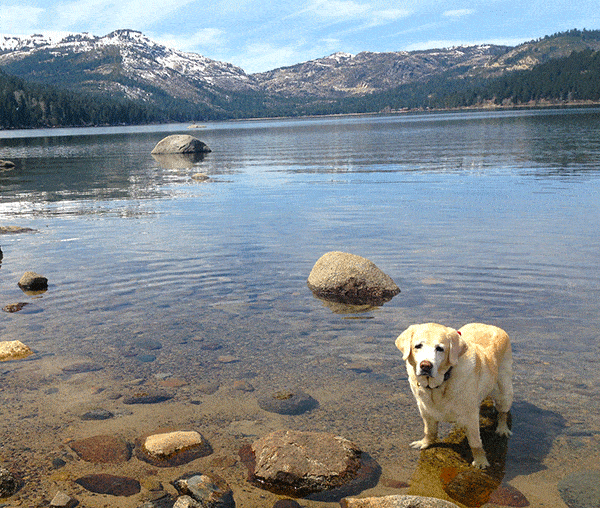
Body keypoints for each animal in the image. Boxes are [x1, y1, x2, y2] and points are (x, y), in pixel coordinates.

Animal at [396, 322, 512, 468]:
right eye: (418, 346)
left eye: (440, 348)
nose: (425, 366)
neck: (439, 384)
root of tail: (491, 325)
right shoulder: (425, 409)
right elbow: (429, 430)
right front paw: (424, 443)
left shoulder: (471, 415)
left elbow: (475, 443)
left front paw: (480, 461)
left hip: (503, 390)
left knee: (503, 412)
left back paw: (502, 429)